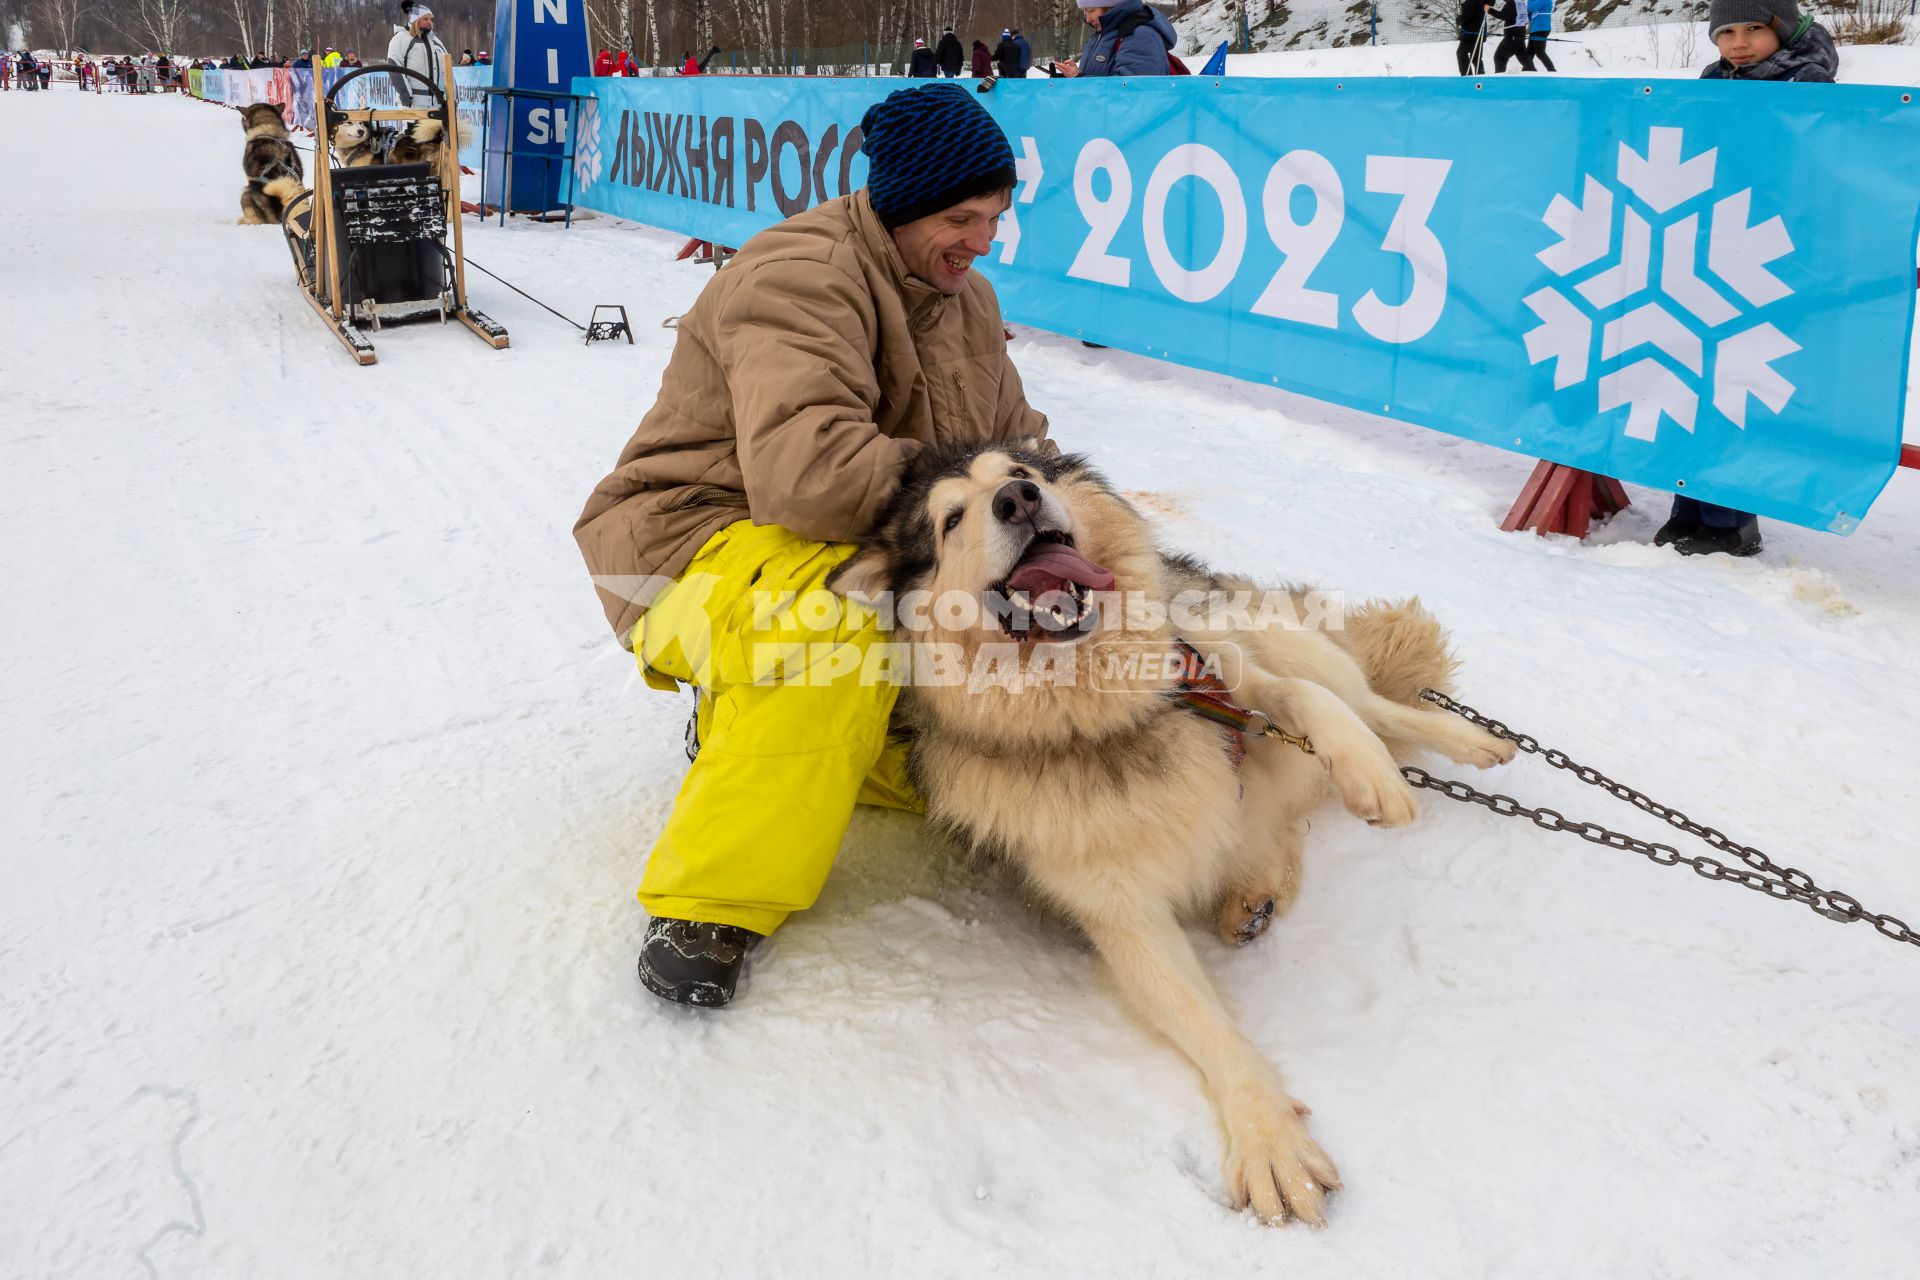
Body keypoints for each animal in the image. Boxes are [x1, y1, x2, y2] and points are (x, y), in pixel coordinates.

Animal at [825, 441, 1512, 1228]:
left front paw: (1368, 770)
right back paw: (1252, 896)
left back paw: (1465, 743)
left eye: (1023, 472)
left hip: (1268, 632)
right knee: (1285, 819)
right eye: (949, 520)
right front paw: (1267, 1136)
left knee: (1369, 702)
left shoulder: (1214, 669)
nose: (1019, 501)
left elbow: (1302, 698)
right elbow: (1204, 1022)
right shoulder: (1121, 914)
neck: (1100, 712)